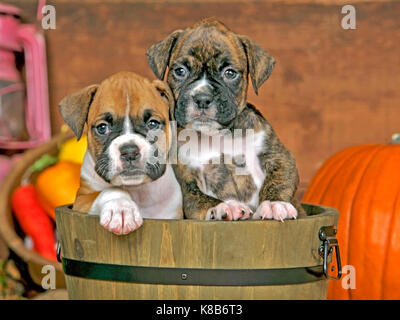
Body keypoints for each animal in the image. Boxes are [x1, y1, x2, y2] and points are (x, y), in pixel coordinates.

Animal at [58, 71, 183, 234]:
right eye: (102, 128)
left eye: (153, 124)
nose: (129, 152)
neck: (137, 191)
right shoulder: (80, 201)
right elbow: (110, 191)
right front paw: (121, 209)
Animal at [145, 18, 304, 221]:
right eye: (180, 71)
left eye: (229, 73)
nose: (202, 98)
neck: (218, 135)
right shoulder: (186, 182)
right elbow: (200, 198)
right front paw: (224, 206)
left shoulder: (278, 156)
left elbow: (279, 180)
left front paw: (275, 204)